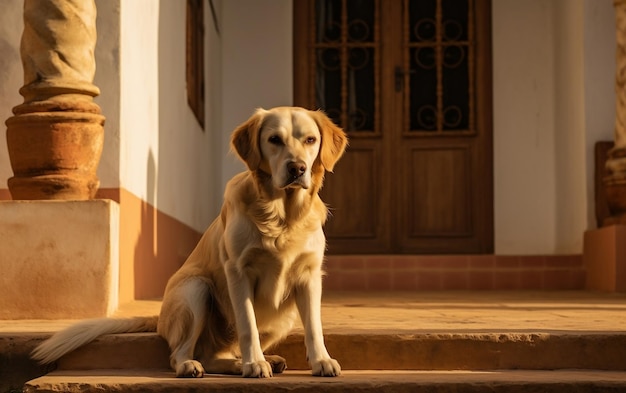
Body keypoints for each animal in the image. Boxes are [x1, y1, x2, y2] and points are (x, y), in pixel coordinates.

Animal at [31, 105, 346, 376]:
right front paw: (254, 363)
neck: (283, 216)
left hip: (283, 317)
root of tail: (159, 318)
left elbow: (314, 326)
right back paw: (196, 365)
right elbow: (248, 324)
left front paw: (321, 360)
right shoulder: (237, 271)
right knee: (182, 353)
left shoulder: (309, 276)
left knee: (217, 353)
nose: (297, 169)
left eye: (310, 140)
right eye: (274, 140)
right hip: (195, 289)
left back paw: (252, 361)